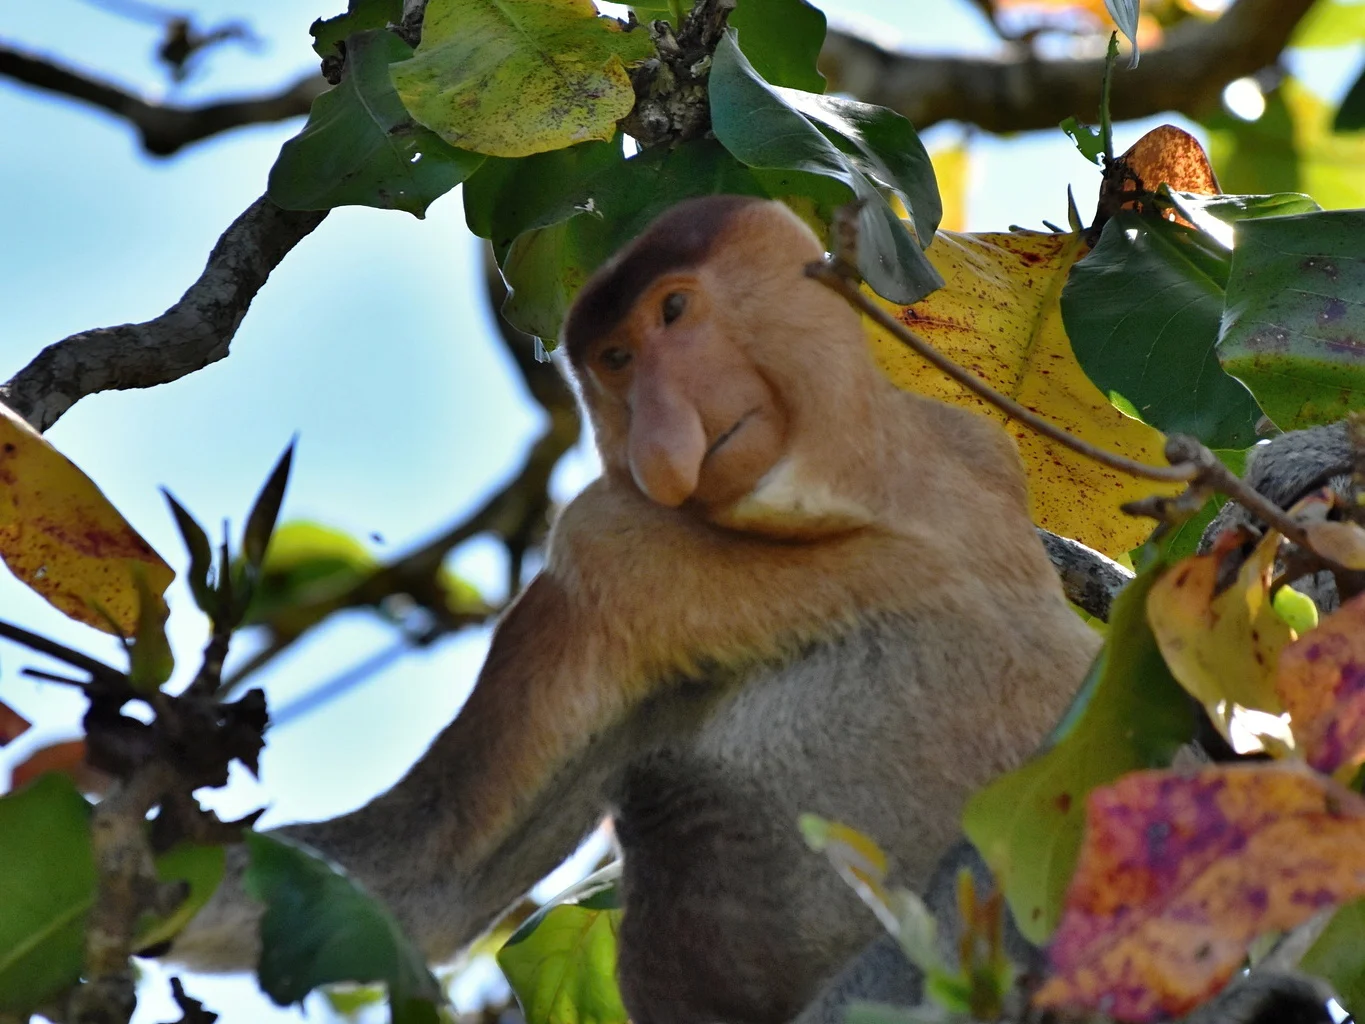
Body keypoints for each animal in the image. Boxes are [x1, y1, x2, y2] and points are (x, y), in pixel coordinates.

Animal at [170, 195, 1101, 1024]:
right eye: (614, 361)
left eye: (674, 311)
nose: (658, 438)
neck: (861, 512)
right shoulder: (602, 552)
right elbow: (428, 869)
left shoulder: (978, 451)